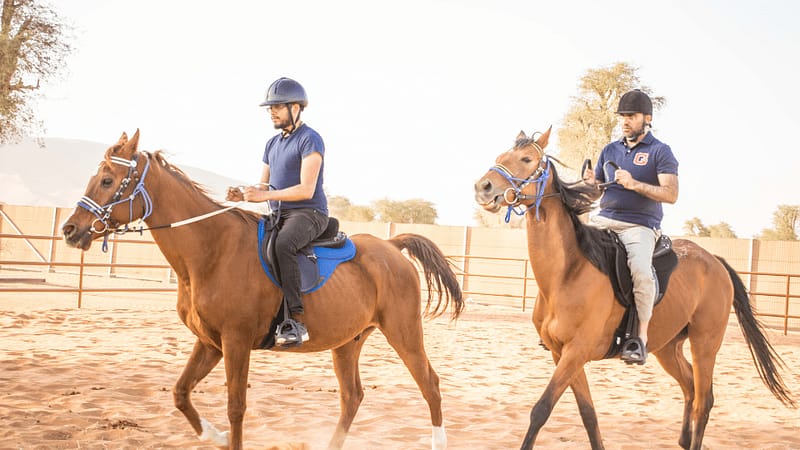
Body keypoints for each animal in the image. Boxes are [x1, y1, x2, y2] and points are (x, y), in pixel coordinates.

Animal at [62, 130, 462, 450]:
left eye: (108, 180)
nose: (70, 230)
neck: (212, 249)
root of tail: (392, 247)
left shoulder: (236, 341)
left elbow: (235, 407)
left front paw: (228, 435)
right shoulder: (210, 343)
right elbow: (180, 394)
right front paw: (216, 436)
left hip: (403, 331)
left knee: (430, 384)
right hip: (348, 342)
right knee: (352, 397)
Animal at [476, 127, 792, 450]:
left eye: (527, 159)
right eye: (502, 156)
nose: (483, 187)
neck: (568, 273)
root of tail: (714, 261)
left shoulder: (576, 352)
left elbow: (541, 409)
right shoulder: (561, 353)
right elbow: (588, 414)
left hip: (705, 343)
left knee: (703, 401)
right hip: (667, 348)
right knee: (690, 388)